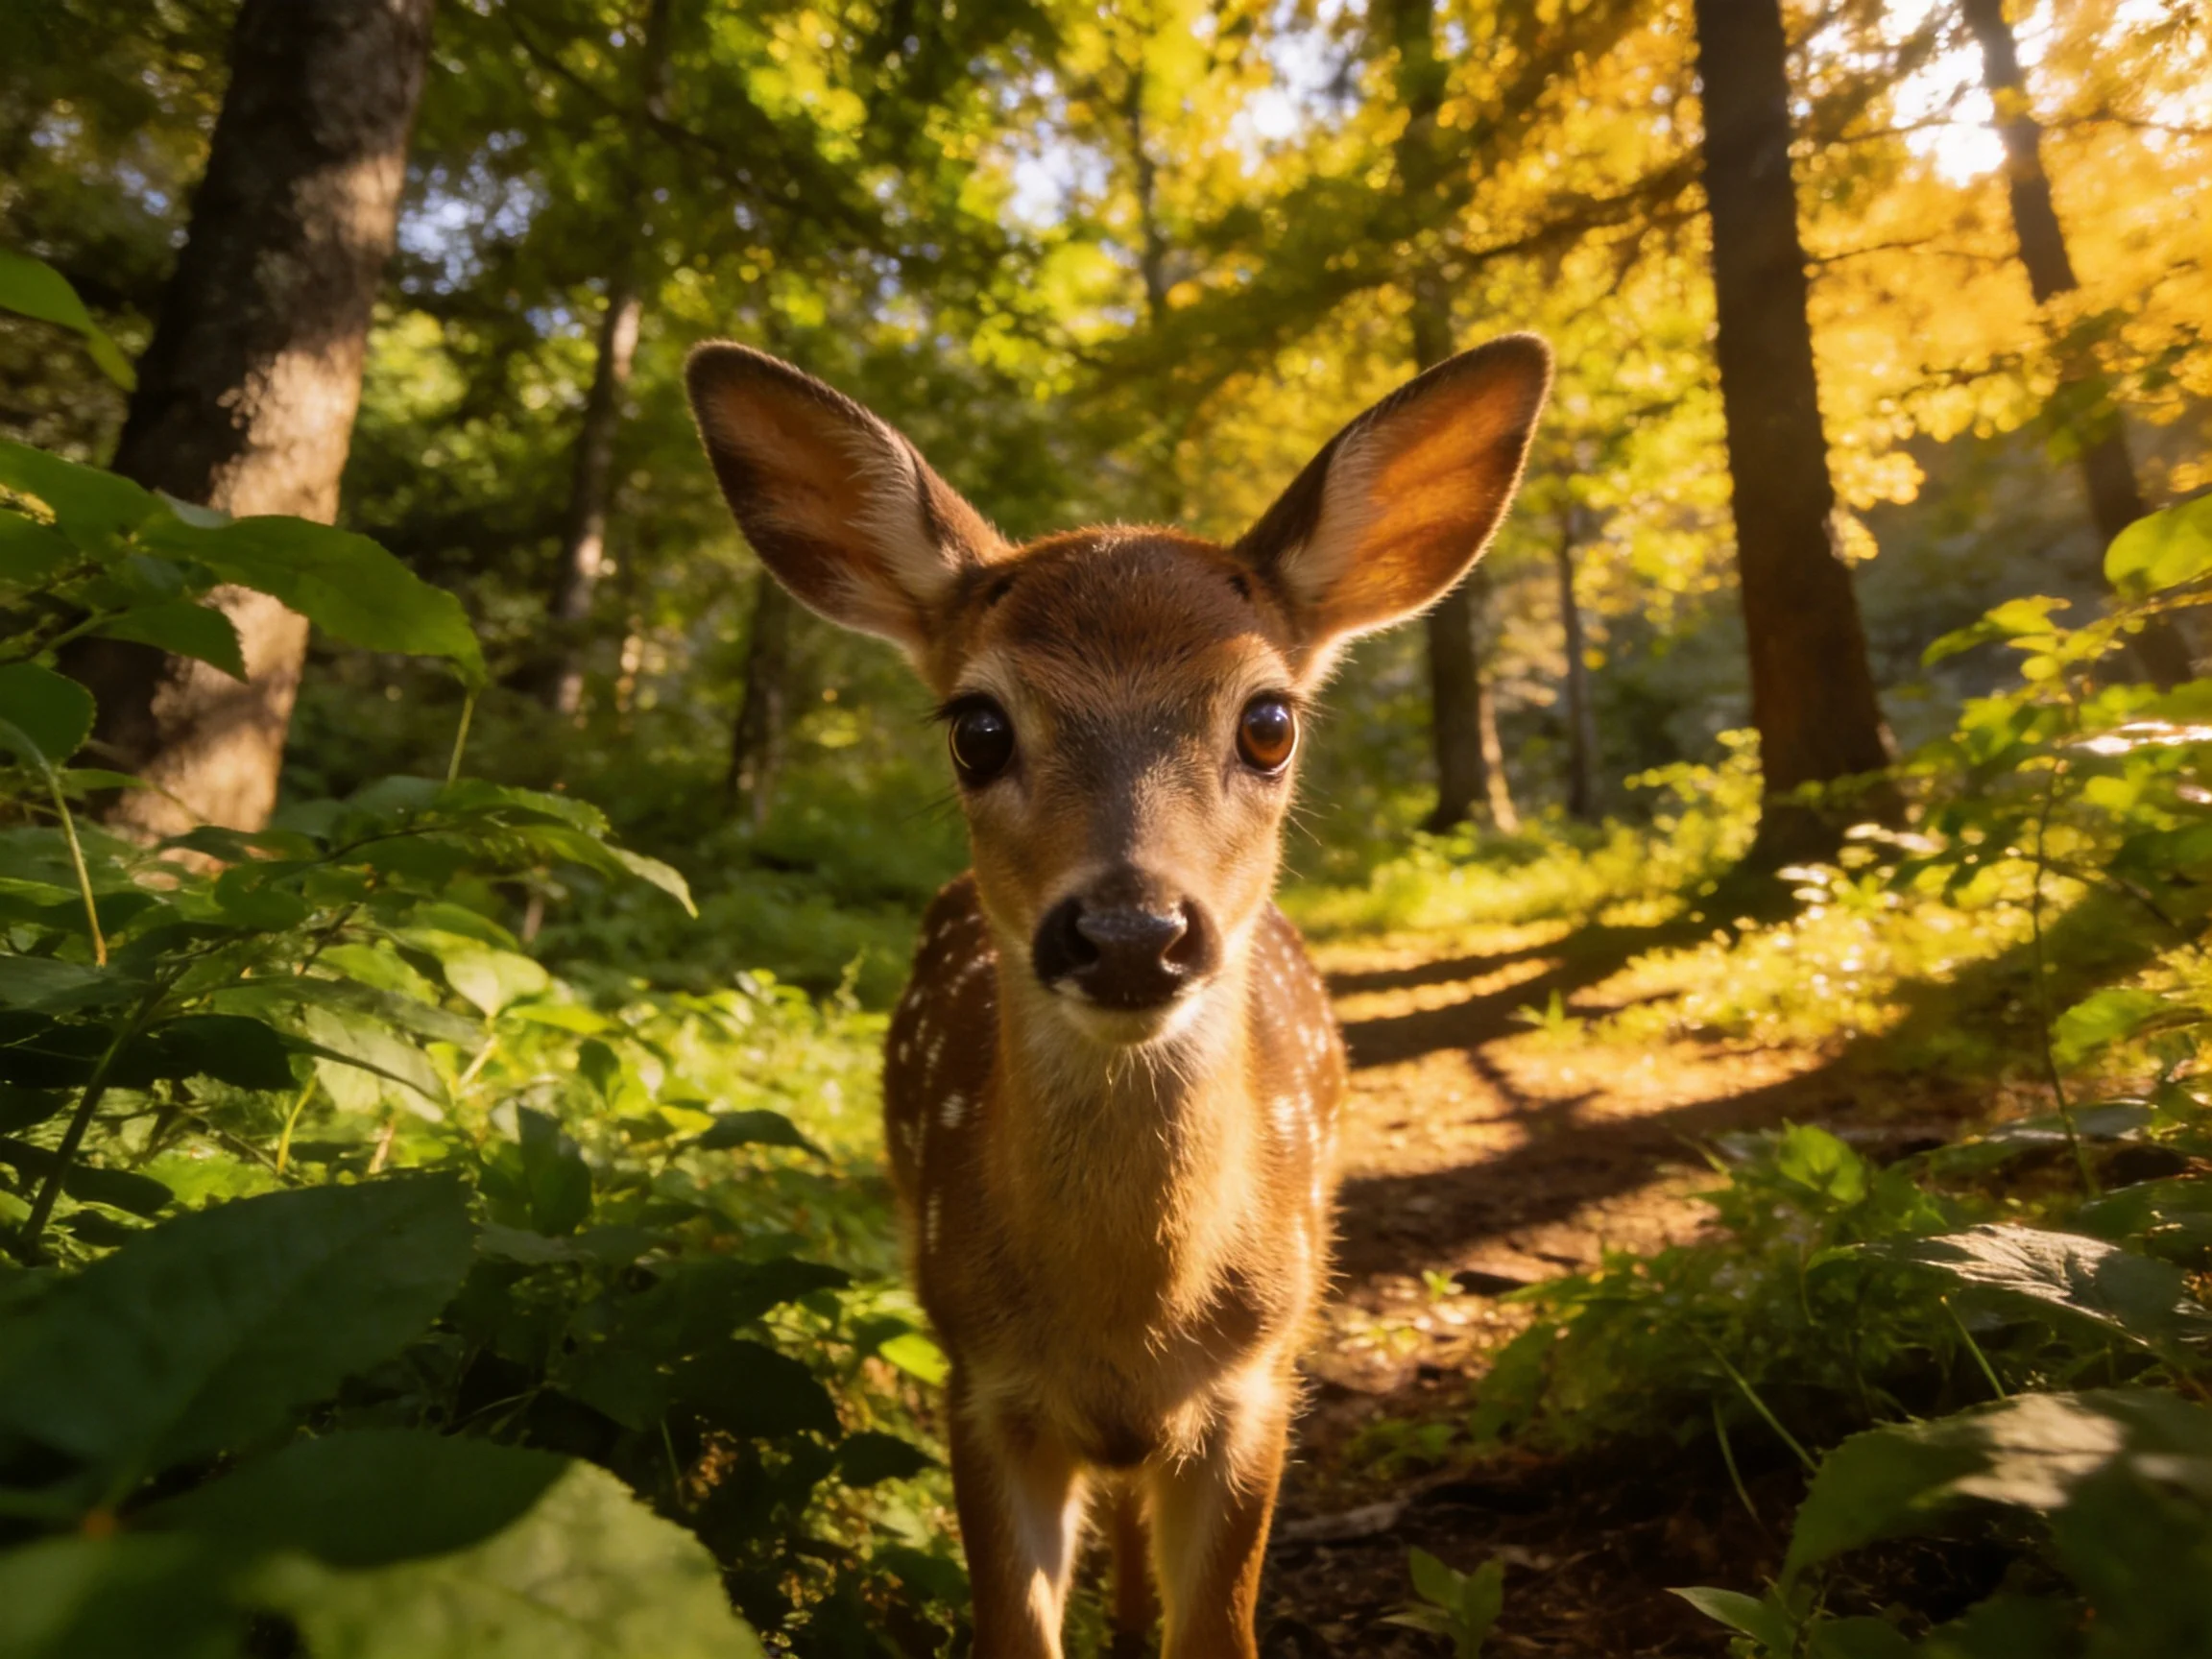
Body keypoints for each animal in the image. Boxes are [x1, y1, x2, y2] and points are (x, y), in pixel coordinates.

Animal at [685, 333, 1551, 1659]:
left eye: (1268, 720)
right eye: (978, 727)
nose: (1131, 934)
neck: (1127, 1319)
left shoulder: (1257, 1385)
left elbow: (1220, 1632)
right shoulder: (982, 1383)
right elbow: (1014, 1631)